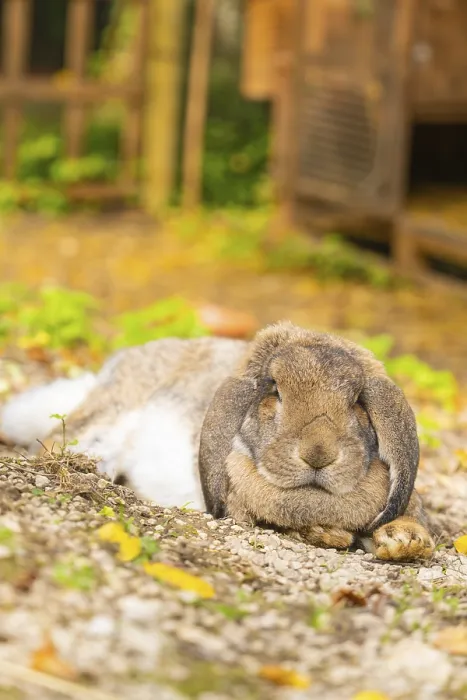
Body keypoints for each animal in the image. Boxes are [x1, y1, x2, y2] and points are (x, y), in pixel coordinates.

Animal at [0, 322, 434, 560]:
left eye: (358, 401)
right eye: (275, 391)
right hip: (108, 413)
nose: (318, 453)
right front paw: (330, 536)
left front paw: (407, 542)